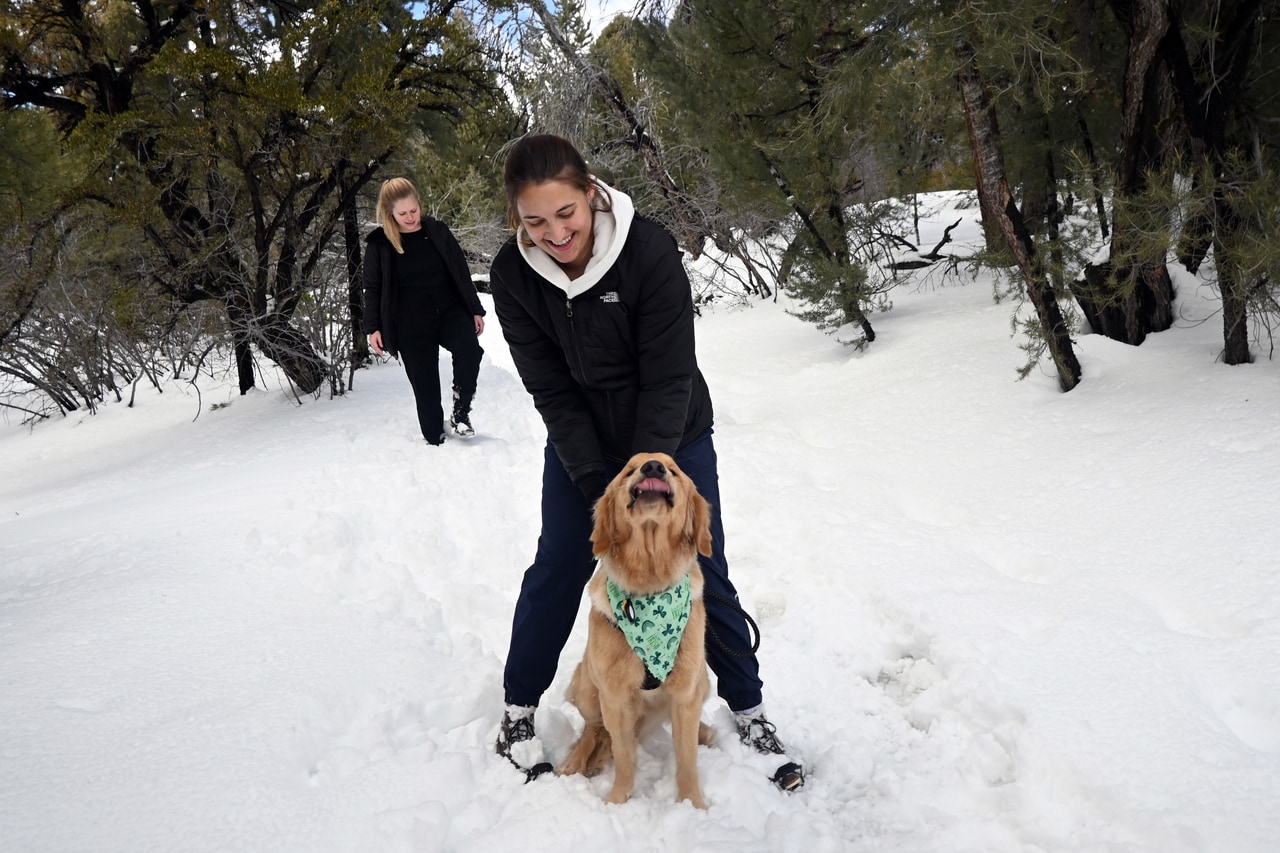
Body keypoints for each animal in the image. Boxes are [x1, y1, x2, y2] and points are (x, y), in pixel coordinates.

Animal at [560, 448, 721, 809]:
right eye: (628, 471)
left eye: (673, 470)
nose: (653, 467)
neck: (650, 584)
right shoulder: (615, 696)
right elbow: (623, 755)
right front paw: (618, 799)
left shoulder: (686, 693)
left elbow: (686, 760)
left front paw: (693, 804)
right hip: (586, 684)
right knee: (593, 729)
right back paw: (575, 761)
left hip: (703, 681)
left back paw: (705, 732)